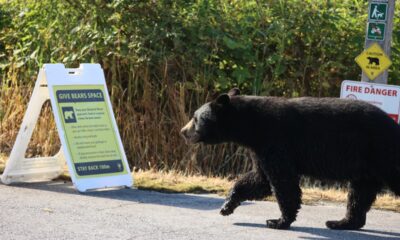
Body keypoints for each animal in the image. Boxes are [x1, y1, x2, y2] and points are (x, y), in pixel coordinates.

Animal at [181, 88, 400, 231]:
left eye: (195, 118)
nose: (183, 131)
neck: (252, 127)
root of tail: (394, 125)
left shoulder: (276, 141)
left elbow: (282, 182)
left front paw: (278, 221)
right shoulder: (260, 150)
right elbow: (259, 180)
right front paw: (227, 206)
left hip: (383, 152)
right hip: (367, 166)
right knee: (359, 194)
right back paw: (340, 222)